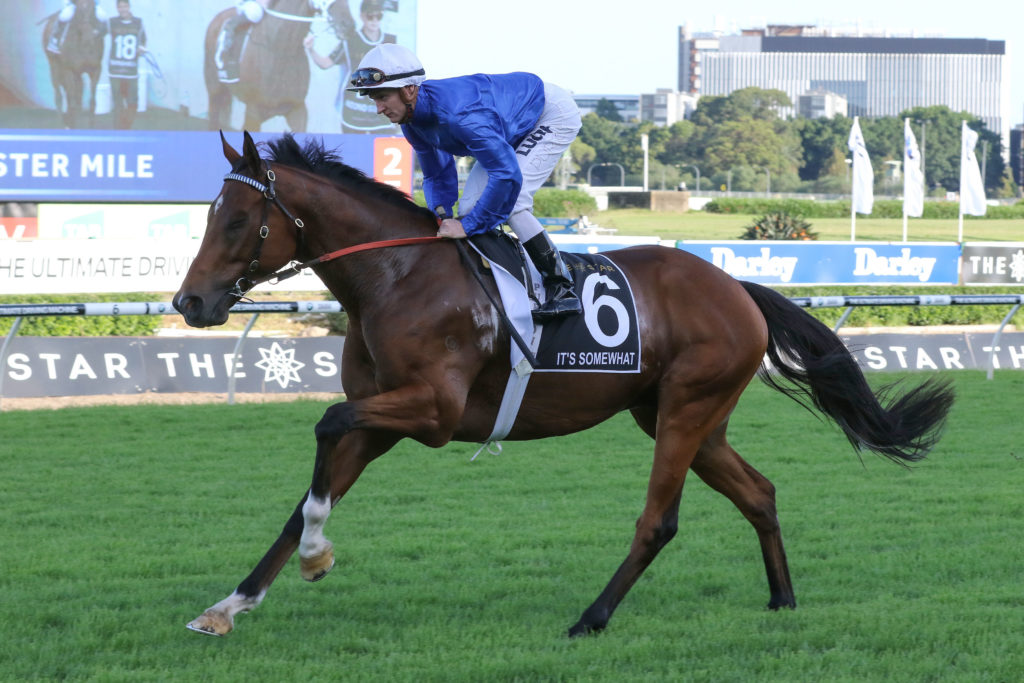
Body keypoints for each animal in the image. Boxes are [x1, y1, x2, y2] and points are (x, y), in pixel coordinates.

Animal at [42, 0, 105, 129]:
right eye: (78, 11)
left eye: (92, 9)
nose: (88, 38)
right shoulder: (68, 70)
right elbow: (72, 101)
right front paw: (72, 123)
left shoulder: (95, 69)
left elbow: (91, 102)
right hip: (55, 67)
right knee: (59, 96)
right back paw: (61, 124)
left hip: (76, 74)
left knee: (77, 94)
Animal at [173, 132, 955, 637]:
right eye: (210, 215)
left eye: (236, 219)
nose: (189, 302)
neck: (395, 275)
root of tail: (735, 286)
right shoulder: (382, 418)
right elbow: (308, 495)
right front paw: (232, 604)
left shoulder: (431, 412)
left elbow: (326, 420)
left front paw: (315, 558)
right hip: (684, 416)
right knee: (758, 492)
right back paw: (783, 600)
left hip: (686, 408)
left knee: (658, 520)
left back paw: (592, 617)